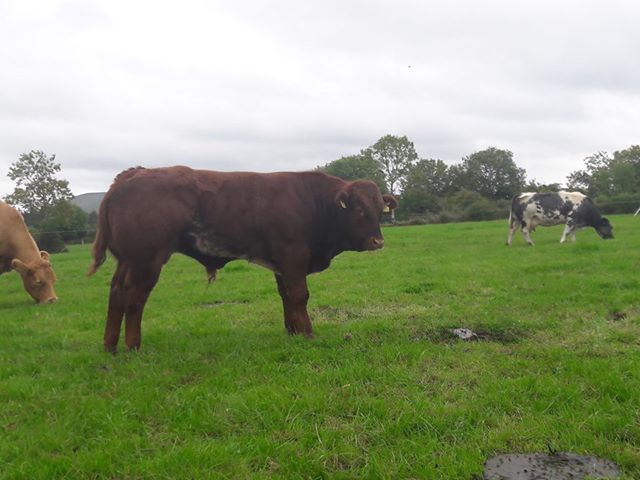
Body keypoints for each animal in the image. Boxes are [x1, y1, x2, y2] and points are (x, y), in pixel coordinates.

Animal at [87, 166, 397, 352]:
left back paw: (110, 346)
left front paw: (292, 331)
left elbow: (286, 296)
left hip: (127, 261)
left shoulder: (281, 265)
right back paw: (133, 346)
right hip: (145, 260)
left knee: (117, 293)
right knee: (135, 298)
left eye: (379, 209)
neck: (312, 204)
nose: (378, 242)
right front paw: (308, 334)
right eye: (359, 209)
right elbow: (299, 296)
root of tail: (132, 174)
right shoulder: (293, 257)